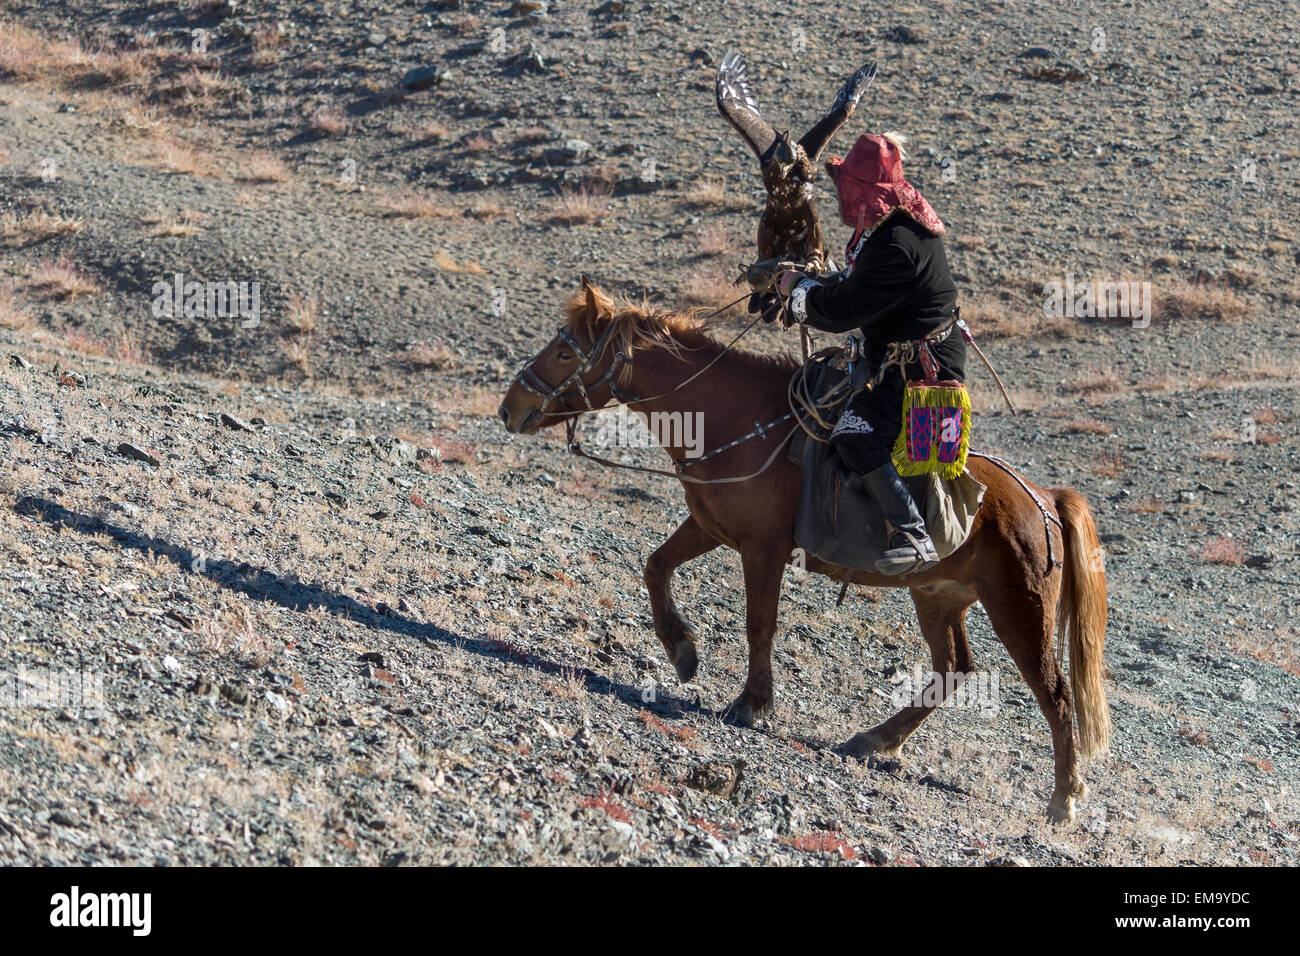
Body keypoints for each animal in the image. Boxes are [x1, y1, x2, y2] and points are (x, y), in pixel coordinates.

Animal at [496, 278, 1107, 822]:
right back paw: (875, 740)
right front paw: (682, 651)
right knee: (952, 669)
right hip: (938, 595)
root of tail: (1043, 499)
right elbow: (655, 566)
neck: (733, 419)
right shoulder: (712, 527)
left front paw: (751, 704)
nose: (509, 408)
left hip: (1019, 607)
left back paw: (1064, 798)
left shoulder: (763, 548)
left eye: (562, 351)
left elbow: (759, 624)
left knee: (1055, 694)